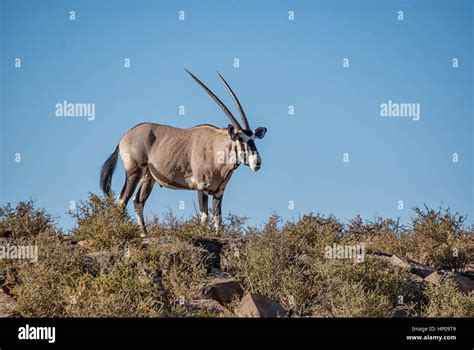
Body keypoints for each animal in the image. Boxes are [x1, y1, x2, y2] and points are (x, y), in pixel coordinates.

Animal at [99, 69, 266, 237]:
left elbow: (218, 220)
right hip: (134, 172)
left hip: (148, 178)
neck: (216, 149)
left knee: (138, 201)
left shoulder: (218, 192)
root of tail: (123, 138)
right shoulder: (202, 187)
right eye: (240, 139)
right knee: (122, 200)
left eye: (253, 139)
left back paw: (145, 234)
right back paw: (123, 231)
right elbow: (204, 217)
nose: (257, 162)